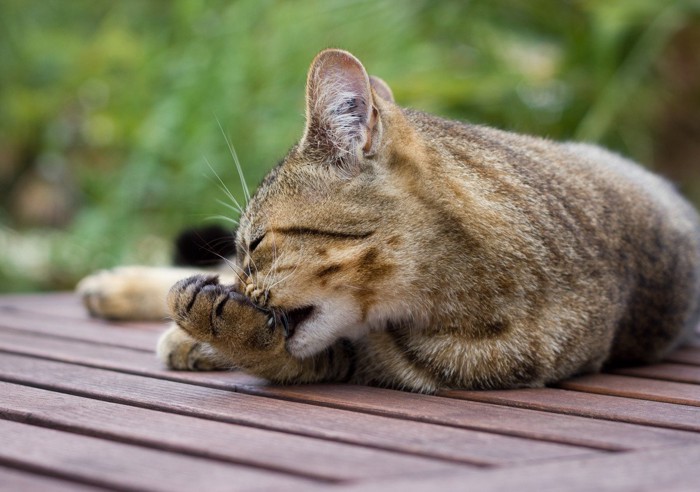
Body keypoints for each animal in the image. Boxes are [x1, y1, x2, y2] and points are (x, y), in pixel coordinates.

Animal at [78, 47, 700, 392]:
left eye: (257, 242)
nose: (244, 270)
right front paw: (195, 324)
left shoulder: (373, 363)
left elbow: (272, 345)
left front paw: (213, 330)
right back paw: (115, 288)